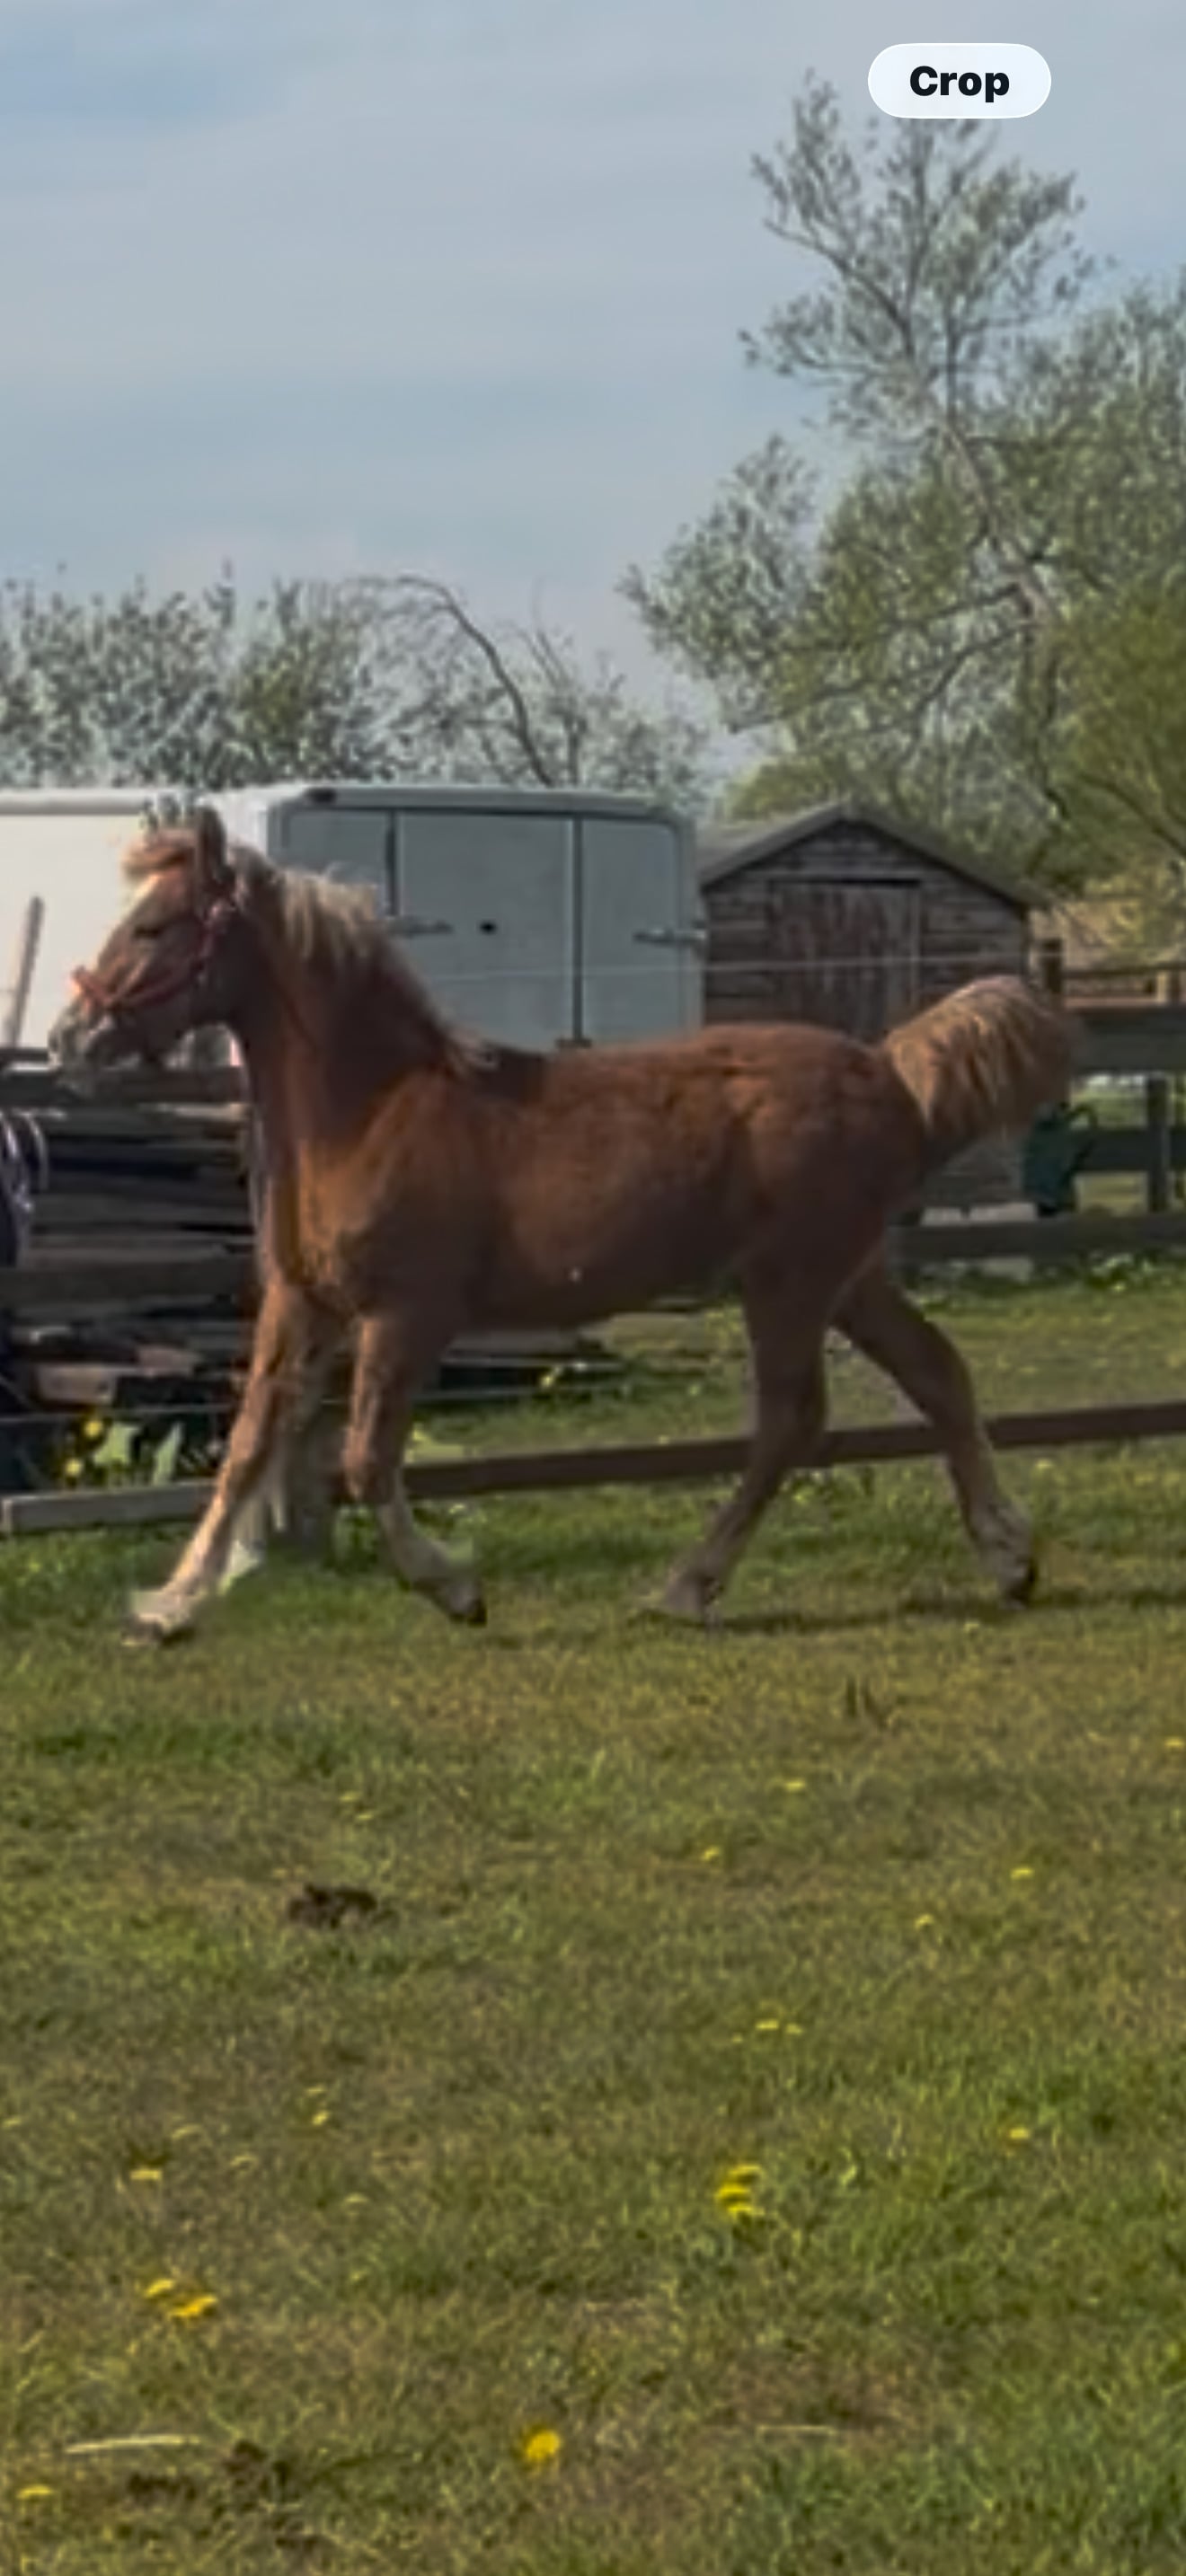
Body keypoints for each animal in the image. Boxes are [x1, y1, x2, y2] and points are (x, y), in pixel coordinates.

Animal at [47, 807, 1072, 1638]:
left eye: (153, 925)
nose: (69, 1042)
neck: (373, 1108)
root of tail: (891, 1070)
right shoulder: (302, 1304)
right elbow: (249, 1446)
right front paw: (171, 1607)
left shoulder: (408, 1315)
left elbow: (367, 1459)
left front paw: (456, 1590)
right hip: (850, 1276)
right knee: (938, 1375)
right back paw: (1008, 1561)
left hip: (790, 1281)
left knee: (792, 1420)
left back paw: (687, 1586)